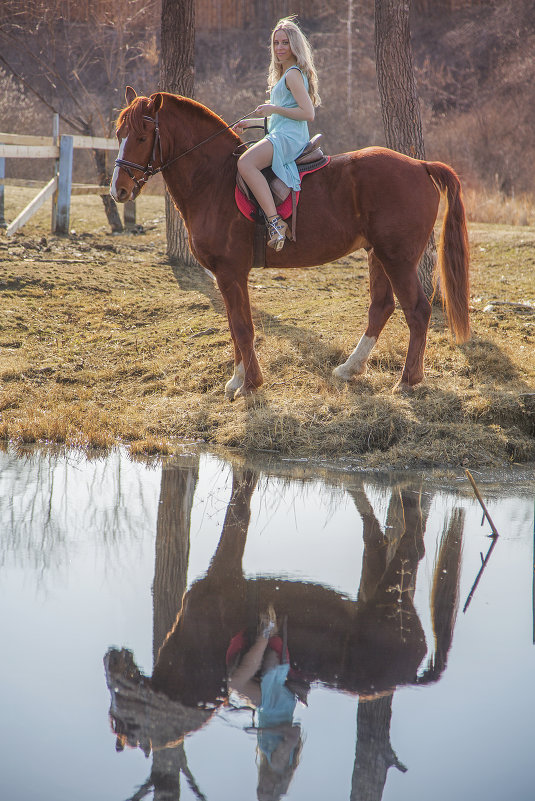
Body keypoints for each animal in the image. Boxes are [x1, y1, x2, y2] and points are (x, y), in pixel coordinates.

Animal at [112, 86, 468, 396]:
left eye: (142, 136)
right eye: (119, 135)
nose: (119, 190)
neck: (214, 180)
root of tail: (420, 165)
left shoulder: (231, 272)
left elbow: (243, 327)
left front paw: (250, 384)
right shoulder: (224, 276)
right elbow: (234, 326)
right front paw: (237, 379)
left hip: (398, 260)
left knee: (418, 311)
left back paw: (408, 380)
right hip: (377, 255)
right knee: (381, 308)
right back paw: (350, 367)